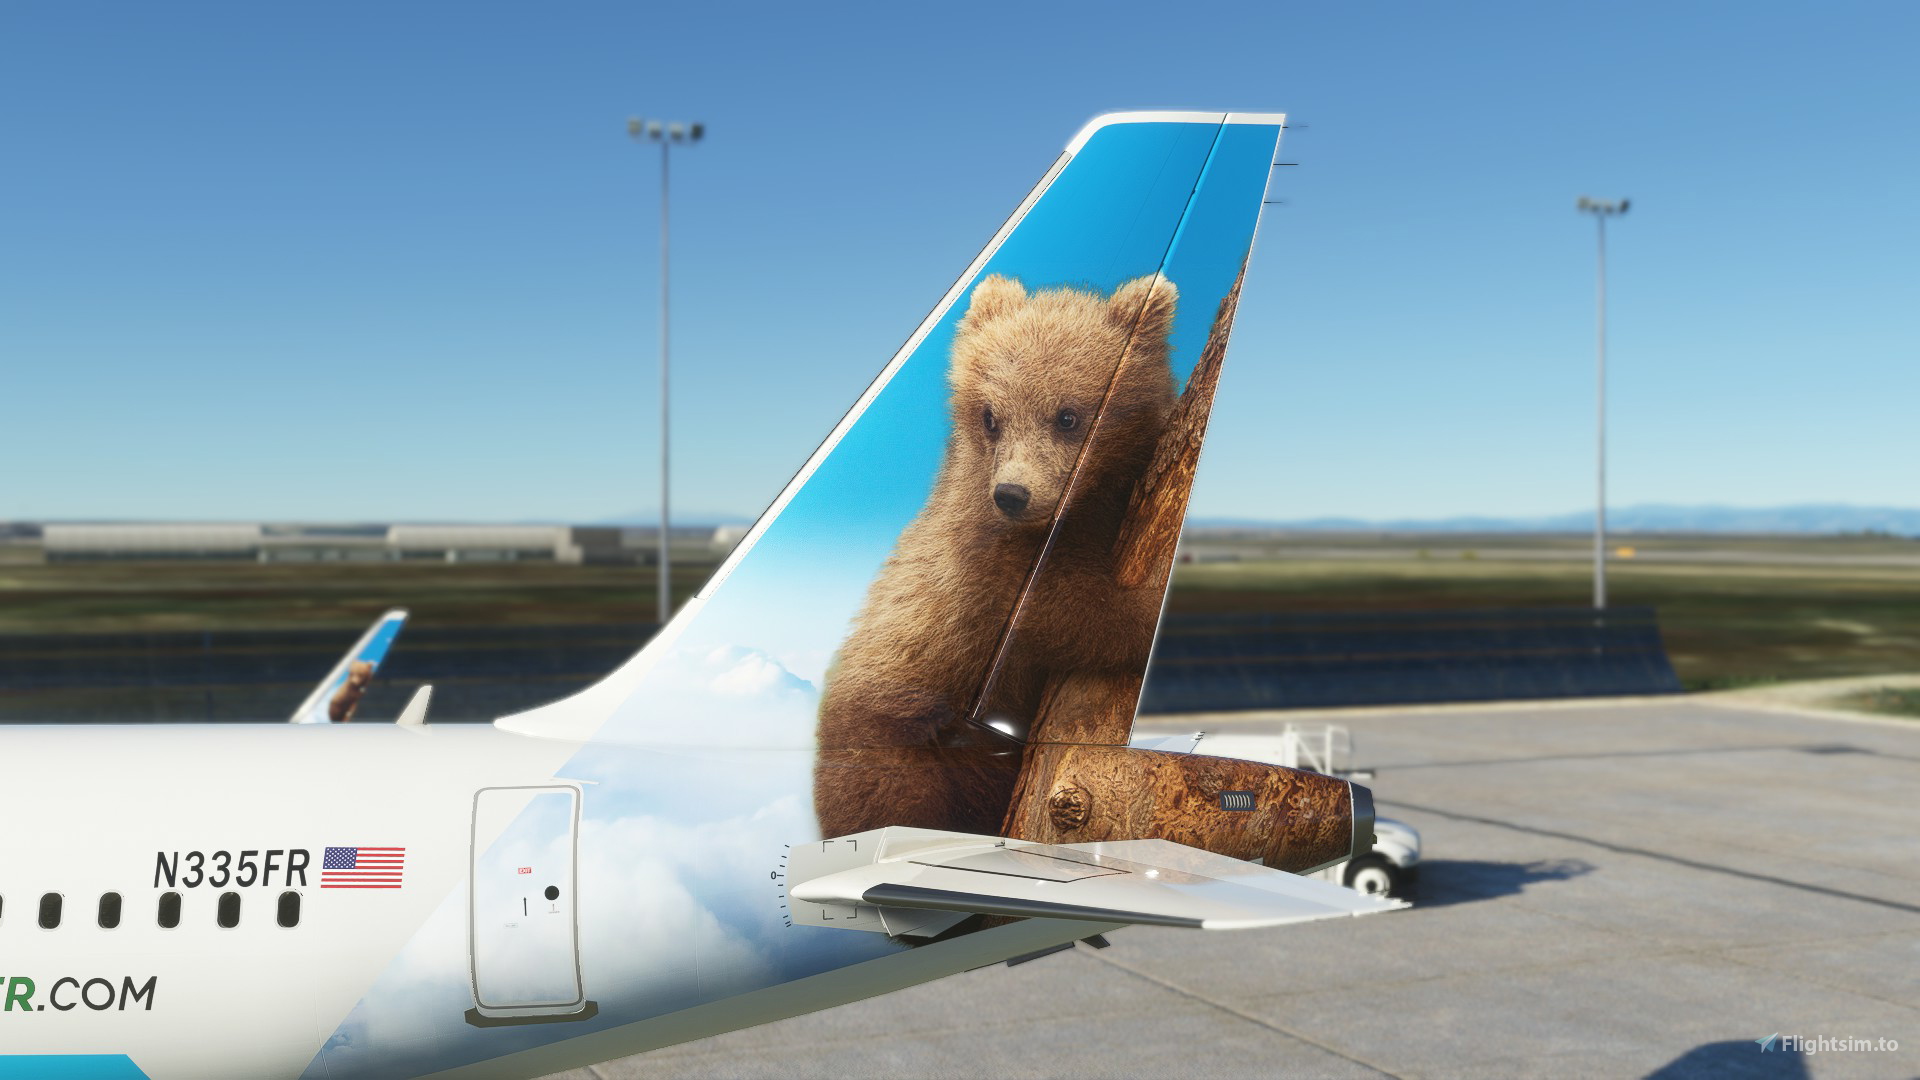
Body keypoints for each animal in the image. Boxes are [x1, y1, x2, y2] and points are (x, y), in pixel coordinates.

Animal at [813, 272, 1179, 839]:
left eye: (1068, 415)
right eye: (991, 416)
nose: (1013, 494)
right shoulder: (979, 570)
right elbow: (1075, 612)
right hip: (895, 746)